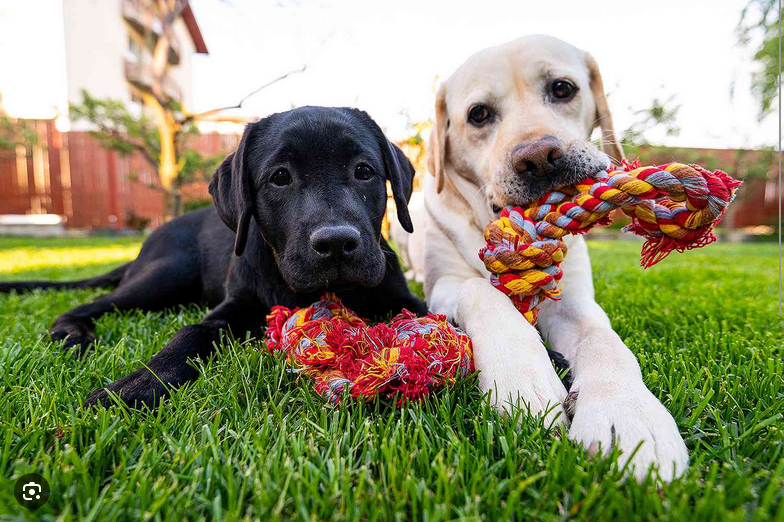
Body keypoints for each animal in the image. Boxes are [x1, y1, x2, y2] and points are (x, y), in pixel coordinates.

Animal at [1, 104, 428, 406]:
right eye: (280, 177)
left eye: (364, 171)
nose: (337, 242)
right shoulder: (231, 307)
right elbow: (191, 332)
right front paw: (136, 385)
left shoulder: (403, 297)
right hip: (168, 273)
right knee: (95, 302)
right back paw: (71, 332)